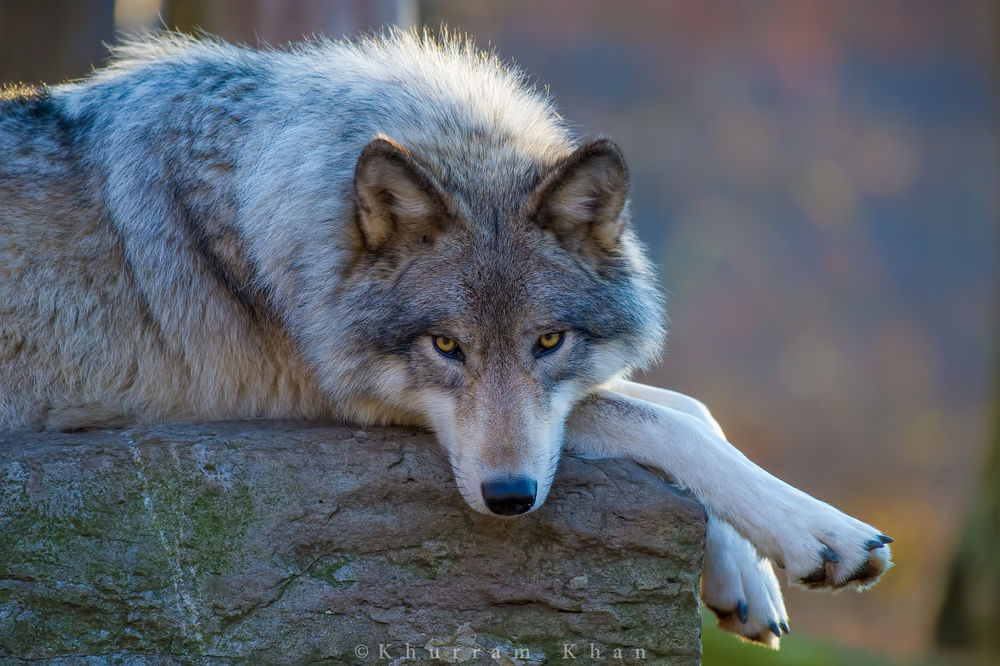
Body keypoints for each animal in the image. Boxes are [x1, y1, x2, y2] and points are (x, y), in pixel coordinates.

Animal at [0, 31, 892, 647]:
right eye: (446, 348)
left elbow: (691, 408)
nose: (511, 498)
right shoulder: (344, 403)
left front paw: (750, 573)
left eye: (549, 341)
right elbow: (663, 421)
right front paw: (821, 535)